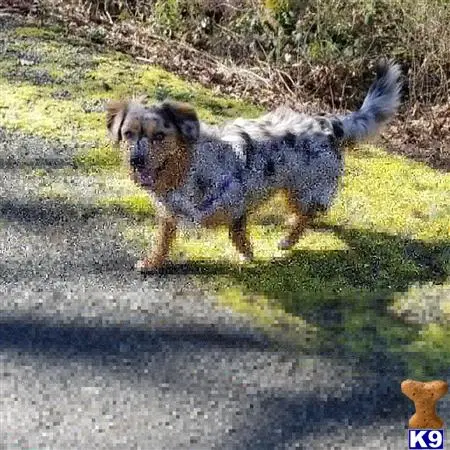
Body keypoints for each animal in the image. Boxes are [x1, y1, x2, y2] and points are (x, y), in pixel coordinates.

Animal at [107, 59, 402, 270]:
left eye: (160, 136)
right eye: (128, 134)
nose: (136, 161)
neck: (186, 169)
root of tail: (327, 123)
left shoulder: (241, 195)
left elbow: (236, 226)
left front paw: (246, 250)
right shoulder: (169, 214)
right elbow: (163, 239)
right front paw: (152, 262)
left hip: (302, 188)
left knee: (307, 214)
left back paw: (288, 239)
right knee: (307, 213)